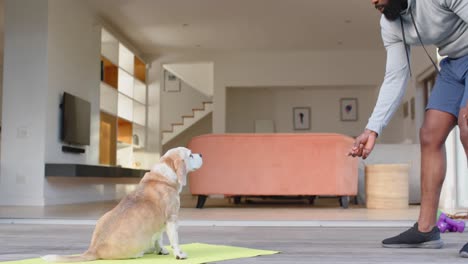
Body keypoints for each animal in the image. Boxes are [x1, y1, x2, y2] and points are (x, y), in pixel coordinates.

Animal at [43, 147, 203, 260]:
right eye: (190, 155)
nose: (201, 154)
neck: (163, 175)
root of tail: (94, 249)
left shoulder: (161, 224)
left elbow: (158, 238)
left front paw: (160, 249)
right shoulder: (171, 219)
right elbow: (174, 240)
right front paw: (179, 254)